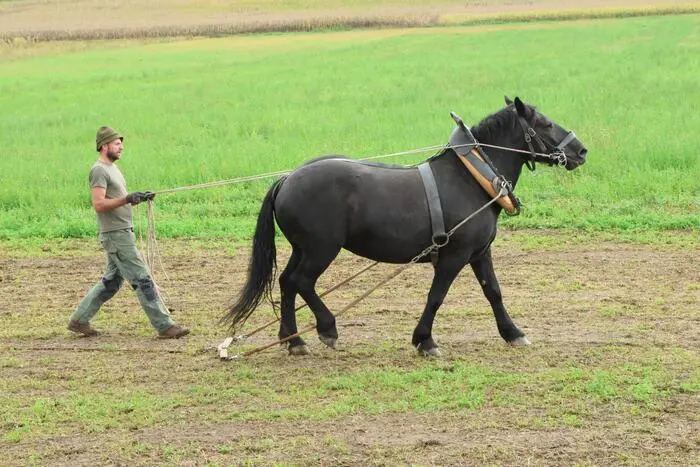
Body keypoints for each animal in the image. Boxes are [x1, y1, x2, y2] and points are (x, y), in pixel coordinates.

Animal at [223, 97, 588, 356]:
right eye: (545, 123)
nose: (581, 150)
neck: (472, 178)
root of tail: (287, 180)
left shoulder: (479, 253)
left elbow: (493, 292)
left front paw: (512, 333)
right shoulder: (454, 256)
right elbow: (436, 296)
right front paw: (425, 340)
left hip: (303, 249)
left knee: (287, 282)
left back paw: (293, 340)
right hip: (320, 250)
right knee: (302, 282)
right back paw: (327, 328)